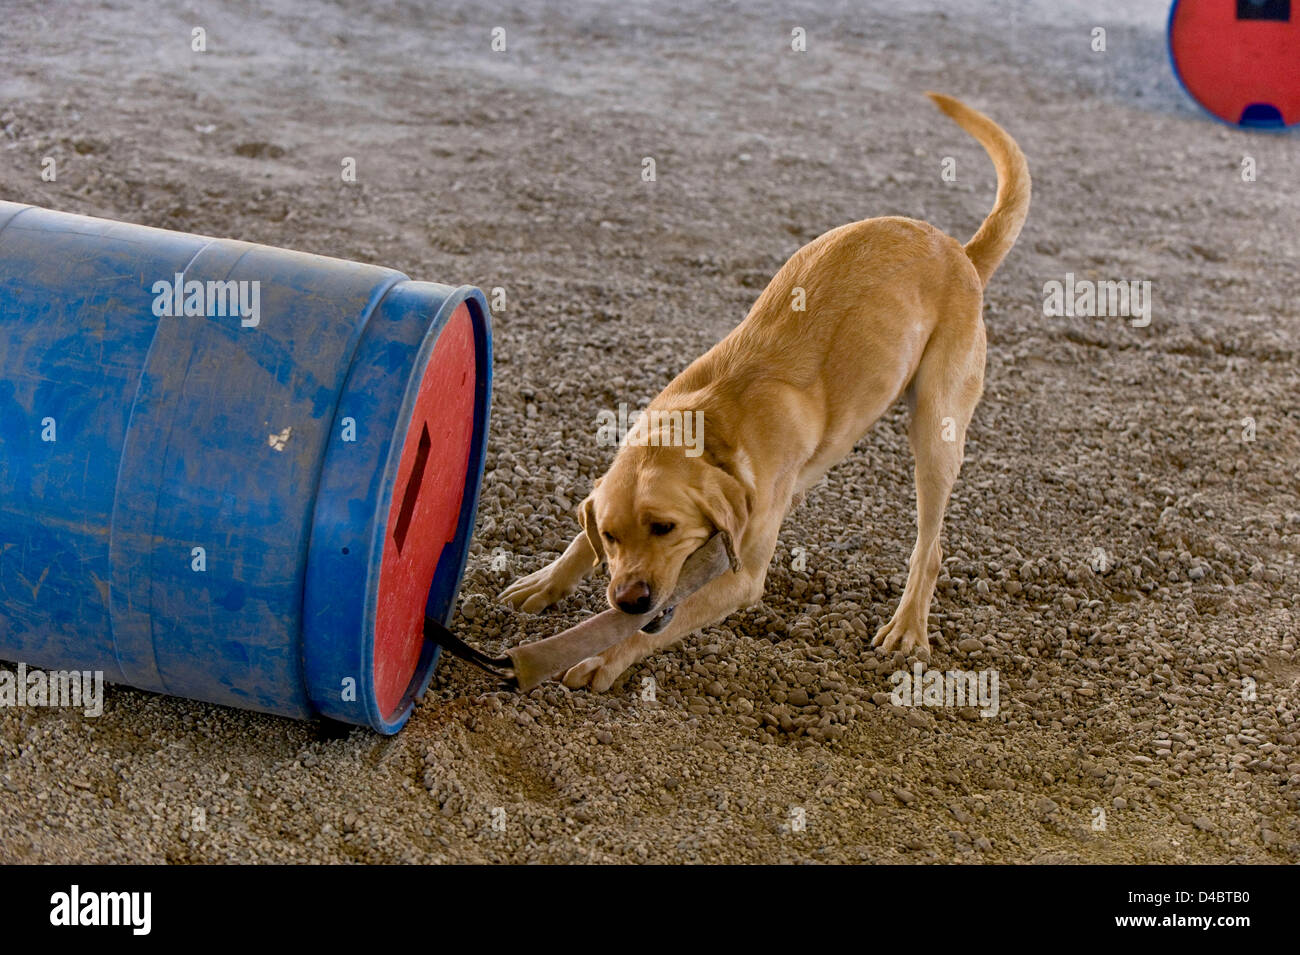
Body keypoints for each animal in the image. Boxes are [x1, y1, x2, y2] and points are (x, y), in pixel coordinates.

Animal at [496, 93, 1024, 691]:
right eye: (610, 535)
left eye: (664, 528)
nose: (628, 600)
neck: (708, 427)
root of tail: (959, 251)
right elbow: (576, 544)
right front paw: (548, 579)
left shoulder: (740, 578)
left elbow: (643, 632)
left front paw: (604, 657)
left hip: (936, 433)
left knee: (929, 549)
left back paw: (909, 624)